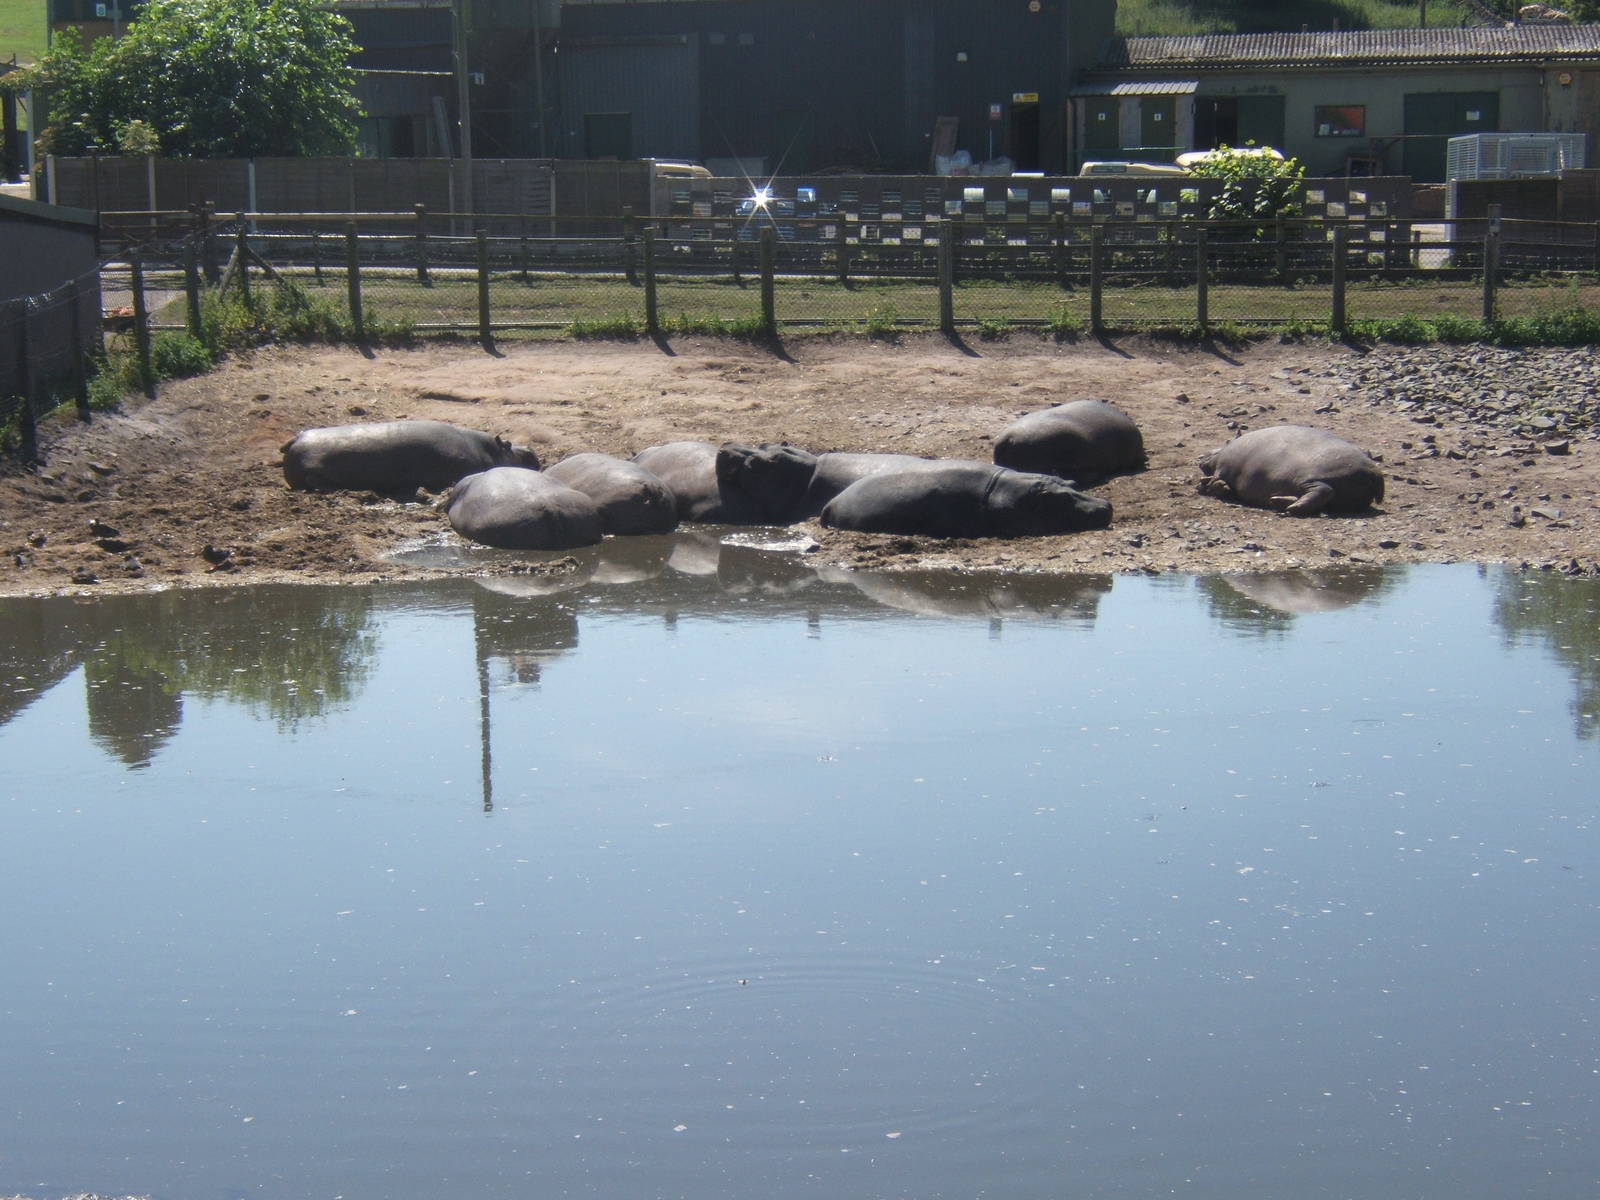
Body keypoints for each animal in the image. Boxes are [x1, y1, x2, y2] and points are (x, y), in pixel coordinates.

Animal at [1198, 425, 1384, 516]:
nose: (1201, 456)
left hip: (1309, 478)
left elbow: (1216, 479)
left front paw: (1204, 484)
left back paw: (1289, 509)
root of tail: (1374, 471)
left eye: (1227, 440)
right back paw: (1278, 502)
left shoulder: (1223, 467)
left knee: (1323, 490)